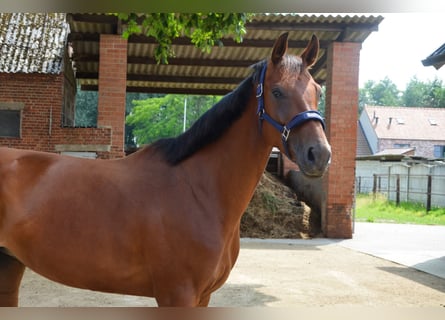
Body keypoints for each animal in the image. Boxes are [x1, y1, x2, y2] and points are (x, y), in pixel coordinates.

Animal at [0, 33, 330, 308]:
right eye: (277, 92)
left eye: (317, 90)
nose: (320, 154)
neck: (198, 190)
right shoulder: (177, 295)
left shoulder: (203, 297)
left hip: (10, 266)